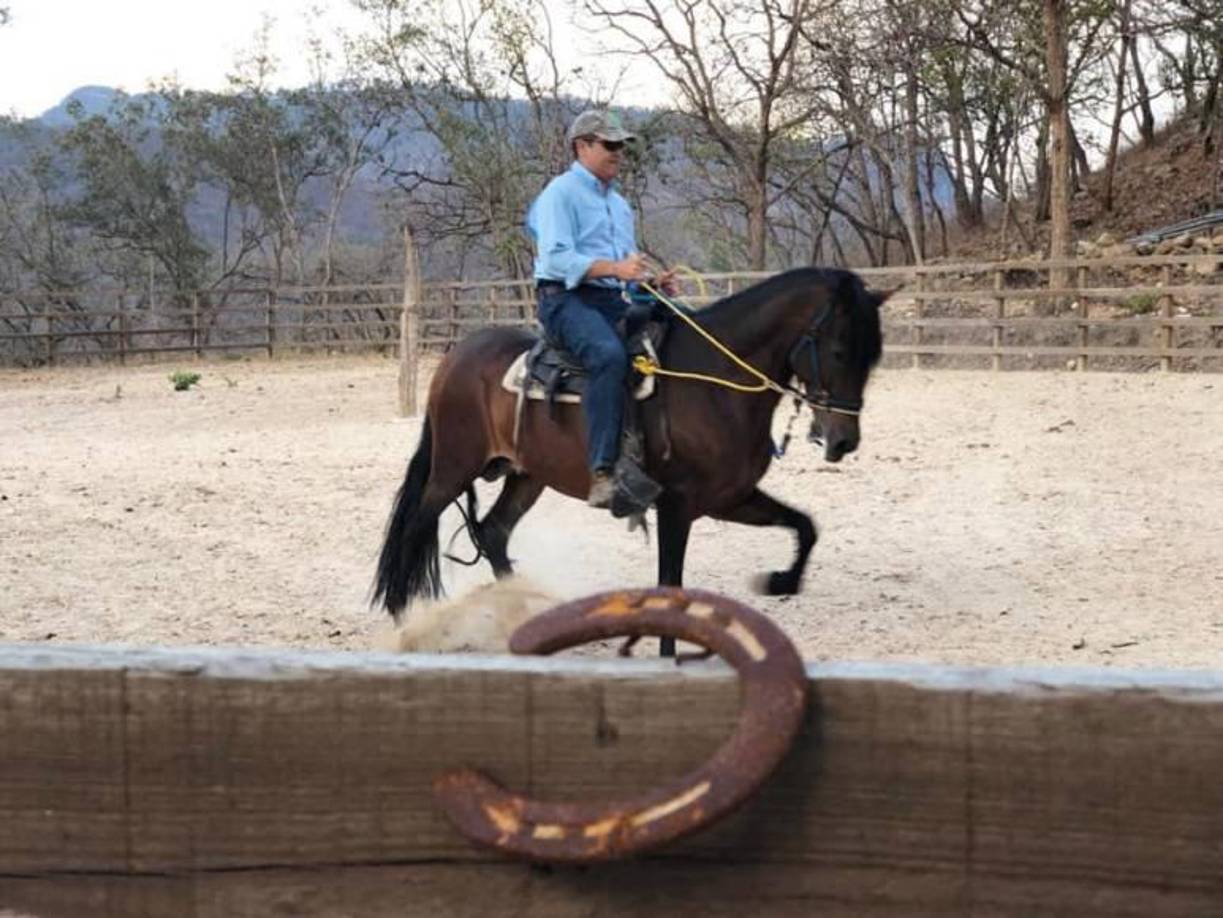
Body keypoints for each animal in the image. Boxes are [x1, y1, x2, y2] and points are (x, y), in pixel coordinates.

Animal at [372, 267, 886, 653]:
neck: (714, 381)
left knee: (493, 531)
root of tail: (456, 356)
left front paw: (779, 581)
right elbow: (671, 585)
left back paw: (522, 615)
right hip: (453, 467)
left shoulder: (730, 498)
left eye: (873, 355)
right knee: (415, 525)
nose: (844, 440)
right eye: (839, 350)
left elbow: (804, 525)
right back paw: (404, 618)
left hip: (527, 476)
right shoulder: (677, 503)